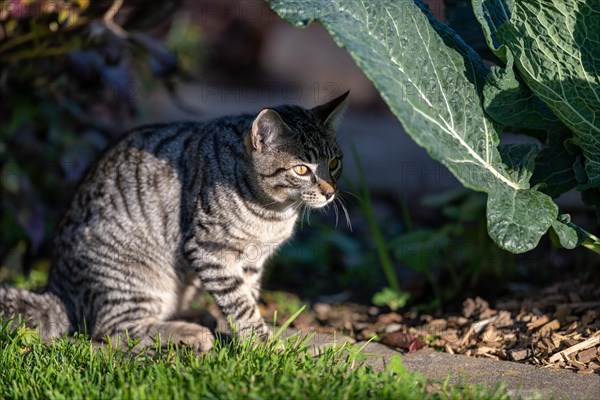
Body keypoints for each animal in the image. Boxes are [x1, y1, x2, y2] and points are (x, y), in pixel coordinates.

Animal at [0, 92, 350, 352]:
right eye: (302, 169)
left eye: (334, 162)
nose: (330, 192)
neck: (274, 212)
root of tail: (57, 289)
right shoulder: (209, 250)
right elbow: (240, 303)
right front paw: (262, 345)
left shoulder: (251, 262)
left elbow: (246, 296)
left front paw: (246, 336)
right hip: (135, 277)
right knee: (114, 329)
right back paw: (189, 332)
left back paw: (198, 316)